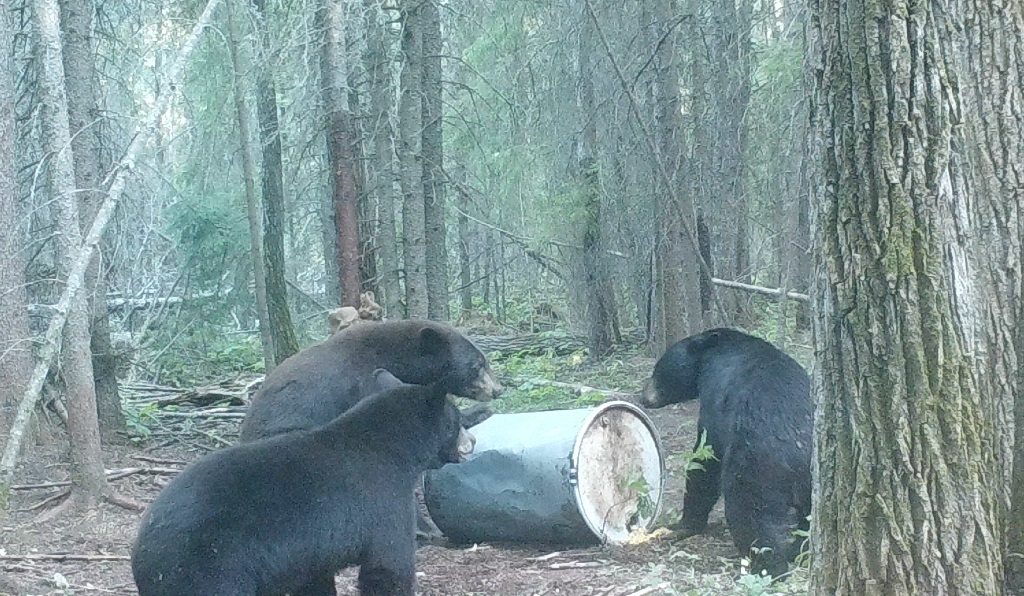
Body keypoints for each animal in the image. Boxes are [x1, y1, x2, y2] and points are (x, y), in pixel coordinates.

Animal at [131, 370, 475, 593]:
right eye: (457, 420)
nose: (470, 442)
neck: (394, 449)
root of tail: (143, 550)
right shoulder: (384, 502)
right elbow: (388, 566)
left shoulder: (310, 551)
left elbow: (314, 578)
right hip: (210, 566)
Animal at [638, 329, 815, 581]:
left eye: (657, 369)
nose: (643, 396)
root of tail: (801, 450)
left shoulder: (715, 395)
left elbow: (706, 459)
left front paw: (683, 524)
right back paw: (799, 551)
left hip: (757, 465)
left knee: (750, 513)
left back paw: (768, 567)